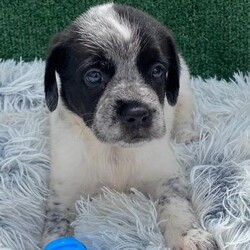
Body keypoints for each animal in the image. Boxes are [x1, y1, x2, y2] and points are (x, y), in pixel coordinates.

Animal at [42, 2, 218, 249]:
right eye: (94, 76)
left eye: (157, 70)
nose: (137, 114)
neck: (115, 152)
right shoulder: (63, 194)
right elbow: (55, 227)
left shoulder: (168, 178)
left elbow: (176, 206)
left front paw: (190, 236)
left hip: (183, 91)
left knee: (184, 112)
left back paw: (187, 135)